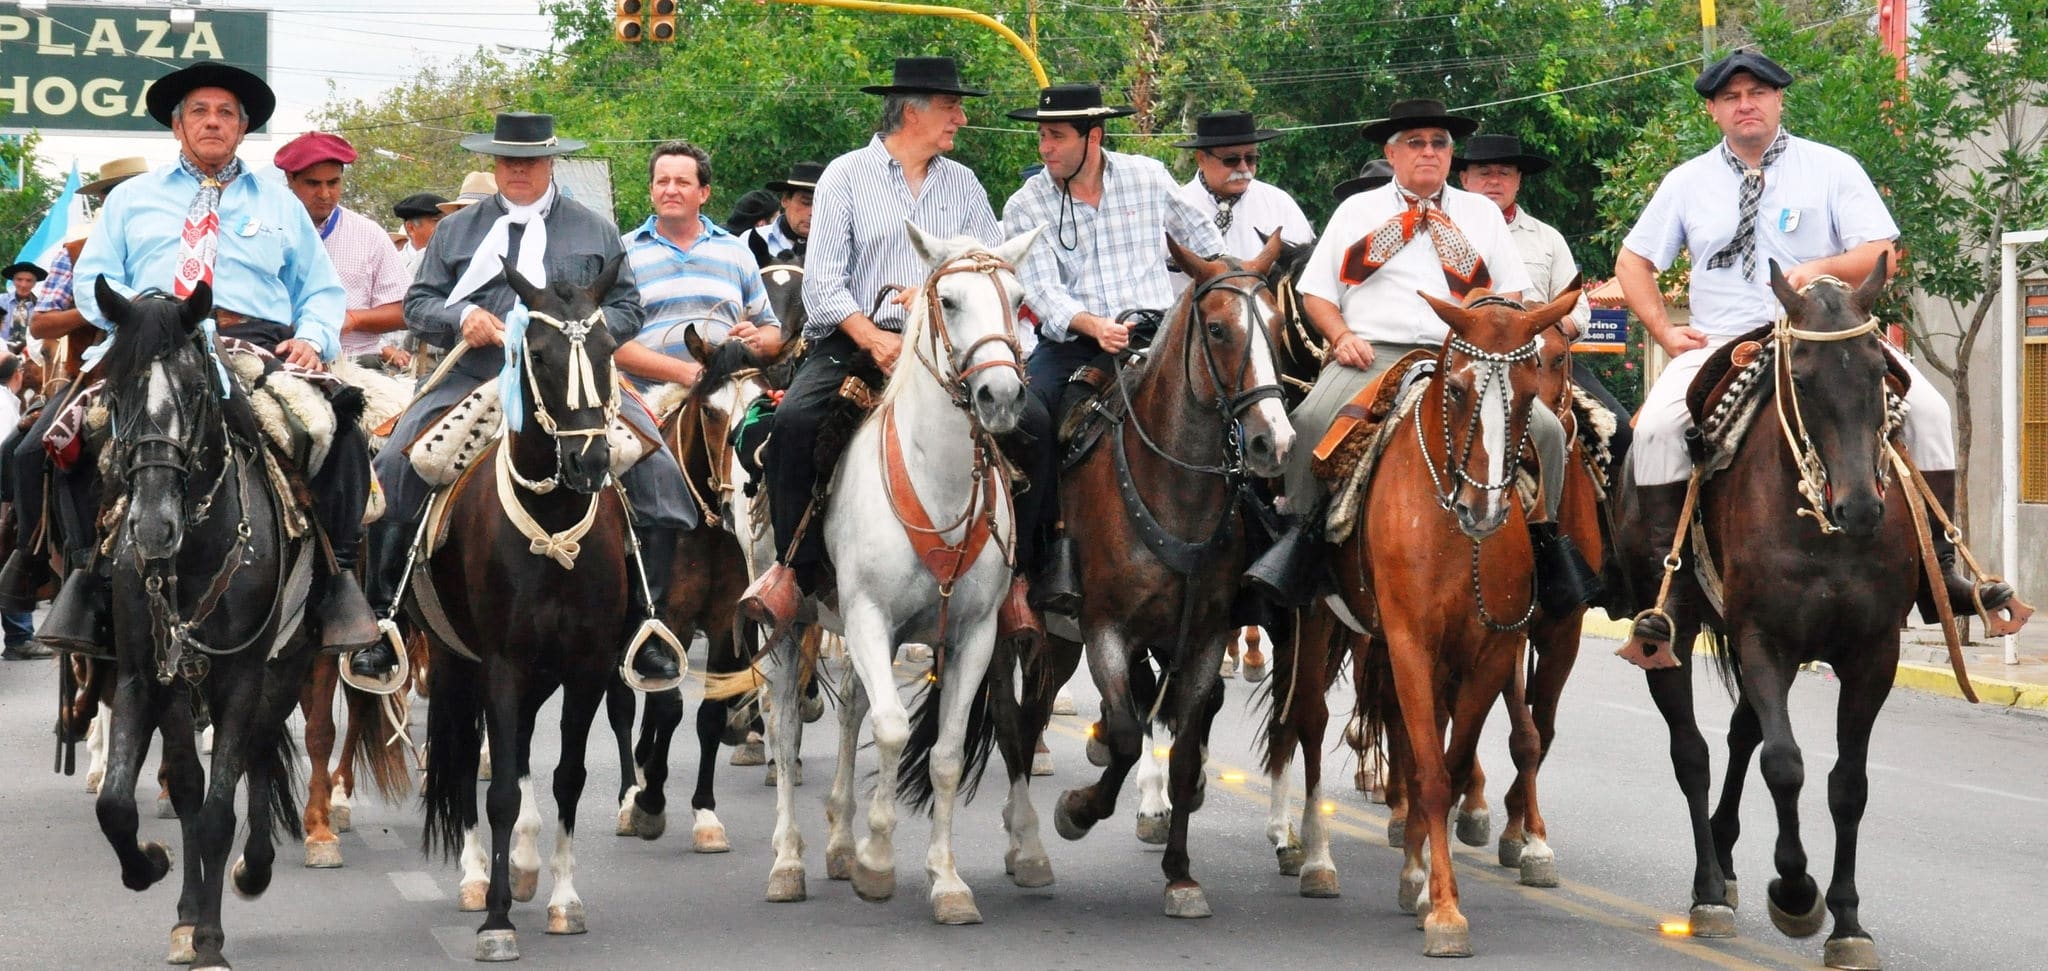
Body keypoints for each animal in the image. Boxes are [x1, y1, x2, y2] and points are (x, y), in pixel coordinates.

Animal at [90, 276, 323, 966]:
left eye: (195, 391)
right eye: (117, 391)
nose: (151, 527)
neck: (193, 555)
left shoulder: (242, 676)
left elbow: (221, 808)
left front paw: (214, 941)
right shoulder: (146, 677)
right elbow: (122, 803)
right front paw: (157, 874)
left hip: (286, 667)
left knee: (255, 756)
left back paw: (254, 870)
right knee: (195, 782)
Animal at [415, 254, 638, 958]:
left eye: (607, 350)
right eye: (536, 354)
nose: (589, 460)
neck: (552, 527)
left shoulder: (587, 667)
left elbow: (567, 775)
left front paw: (565, 898)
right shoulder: (500, 667)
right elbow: (497, 793)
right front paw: (496, 917)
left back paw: (525, 864)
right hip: (456, 666)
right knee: (465, 763)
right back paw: (476, 876)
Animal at [1048, 233, 1286, 917]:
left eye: (1277, 326)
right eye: (1218, 329)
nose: (1272, 441)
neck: (1172, 488)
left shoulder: (1202, 638)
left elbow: (1180, 750)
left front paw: (1180, 874)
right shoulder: (1105, 629)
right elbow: (1131, 733)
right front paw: (1078, 810)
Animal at [1327, 288, 1581, 954]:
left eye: (1526, 391)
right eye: (1461, 390)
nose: (1482, 508)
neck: (1451, 538)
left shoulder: (1492, 652)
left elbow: (1455, 760)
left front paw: (1428, 886)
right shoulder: (1409, 643)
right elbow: (1432, 774)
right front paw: (1443, 909)